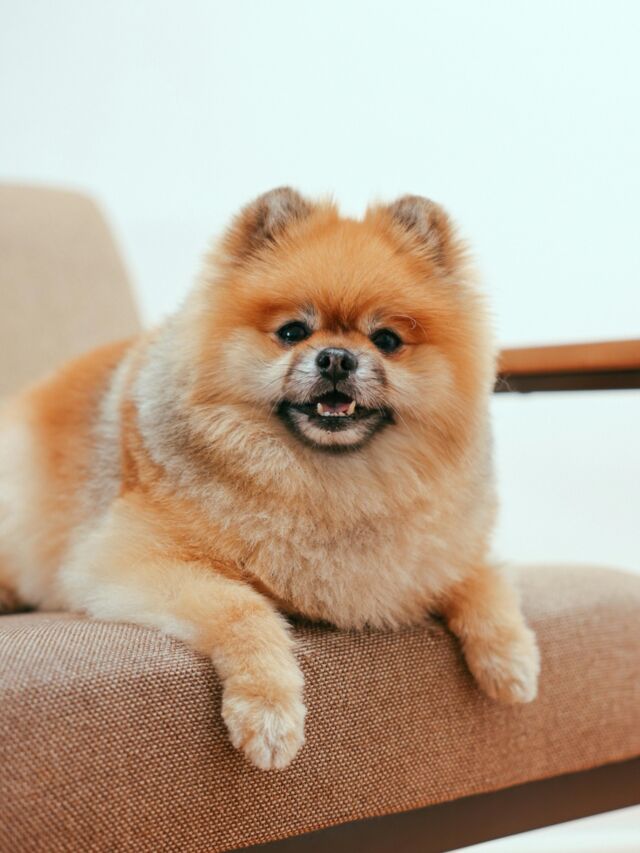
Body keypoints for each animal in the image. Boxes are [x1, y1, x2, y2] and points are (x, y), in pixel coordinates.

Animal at [0, 188, 539, 769]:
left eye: (387, 339)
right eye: (292, 332)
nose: (336, 358)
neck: (326, 479)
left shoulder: (438, 554)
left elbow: (484, 581)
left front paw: (512, 660)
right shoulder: (126, 558)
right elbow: (243, 607)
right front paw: (269, 711)